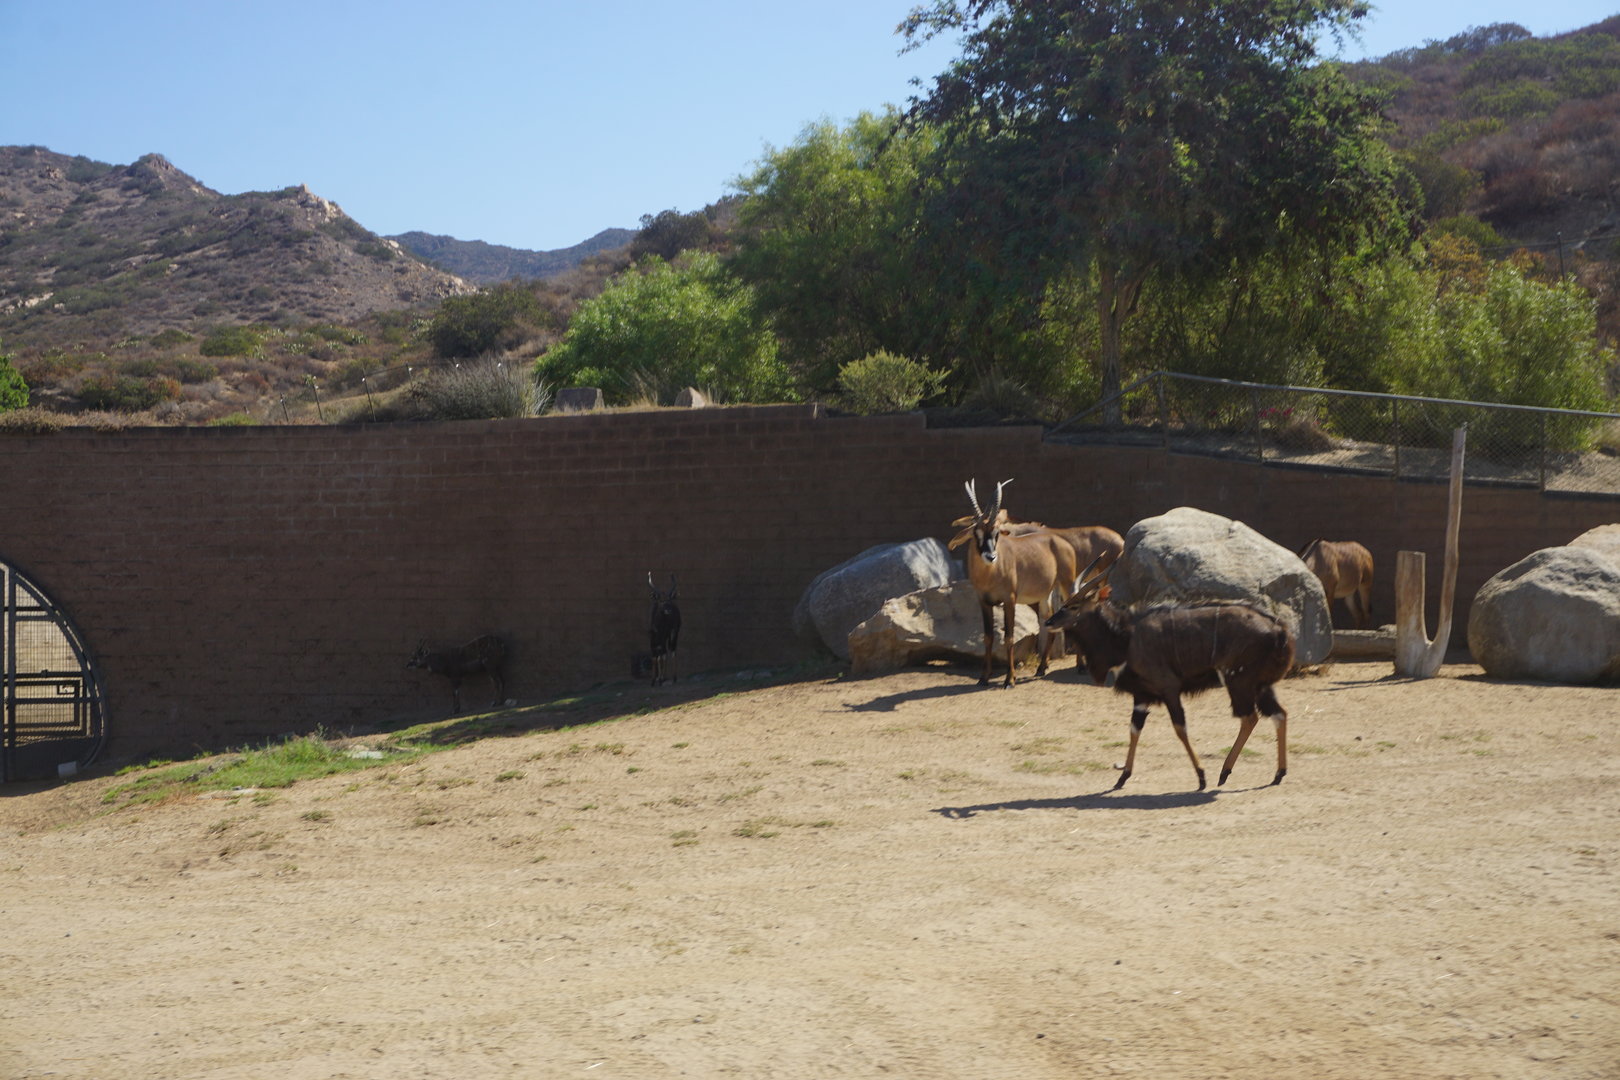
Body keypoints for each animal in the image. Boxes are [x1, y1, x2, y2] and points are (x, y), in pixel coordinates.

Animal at [948, 478, 1079, 687]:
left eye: (996, 533)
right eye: (976, 532)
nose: (991, 556)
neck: (989, 575)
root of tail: (1060, 541)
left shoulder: (1009, 600)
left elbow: (1009, 638)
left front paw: (1009, 679)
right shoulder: (983, 602)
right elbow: (988, 637)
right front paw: (984, 677)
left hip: (1067, 585)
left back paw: (1080, 667)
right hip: (1043, 596)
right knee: (1049, 619)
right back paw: (1041, 668)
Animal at [1046, 561, 1294, 790]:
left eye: (1074, 606)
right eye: (1064, 604)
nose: (1049, 622)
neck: (1125, 637)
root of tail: (1278, 629)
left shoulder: (1169, 688)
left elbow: (1180, 728)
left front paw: (1201, 776)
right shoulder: (1141, 695)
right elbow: (1134, 729)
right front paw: (1123, 776)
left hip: (1239, 682)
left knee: (1250, 717)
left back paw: (1224, 772)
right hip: (1260, 685)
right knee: (1279, 714)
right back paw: (1278, 773)